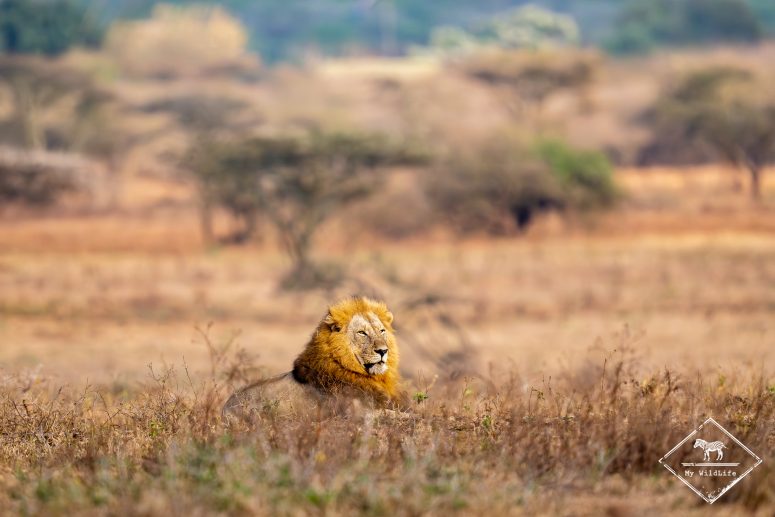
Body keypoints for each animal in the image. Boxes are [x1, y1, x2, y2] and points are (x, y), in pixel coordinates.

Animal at [223, 296, 404, 418]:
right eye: (362, 333)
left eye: (381, 331)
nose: (383, 351)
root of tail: (224, 408)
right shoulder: (356, 413)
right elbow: (396, 415)